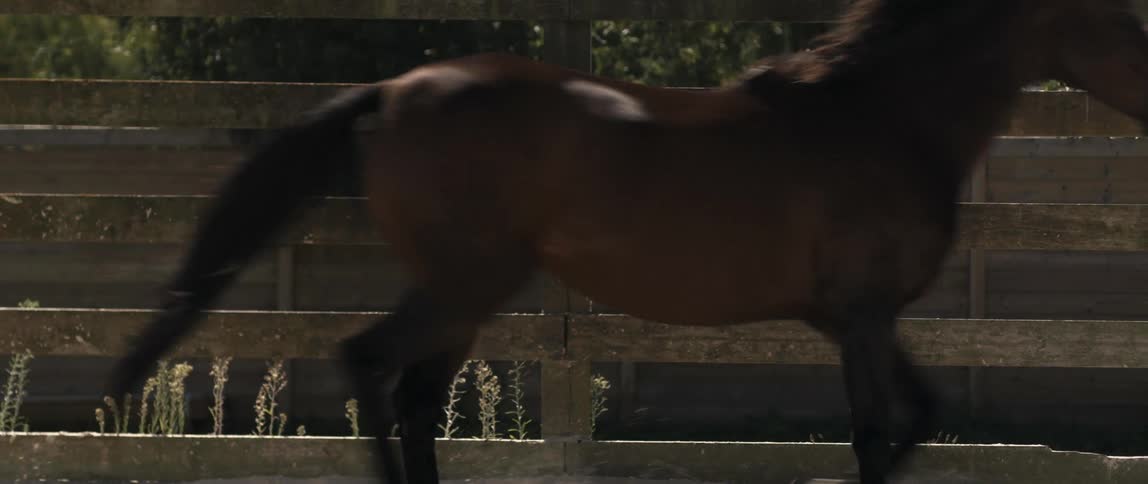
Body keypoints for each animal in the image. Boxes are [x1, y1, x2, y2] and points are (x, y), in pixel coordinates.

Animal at [105, 0, 1148, 482]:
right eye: (1116, 15)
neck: (878, 119)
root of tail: (391, 92)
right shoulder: (859, 317)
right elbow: (874, 431)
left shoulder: (860, 317)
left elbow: (921, 417)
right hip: (470, 279)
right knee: (370, 362)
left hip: (466, 293)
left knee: (414, 394)